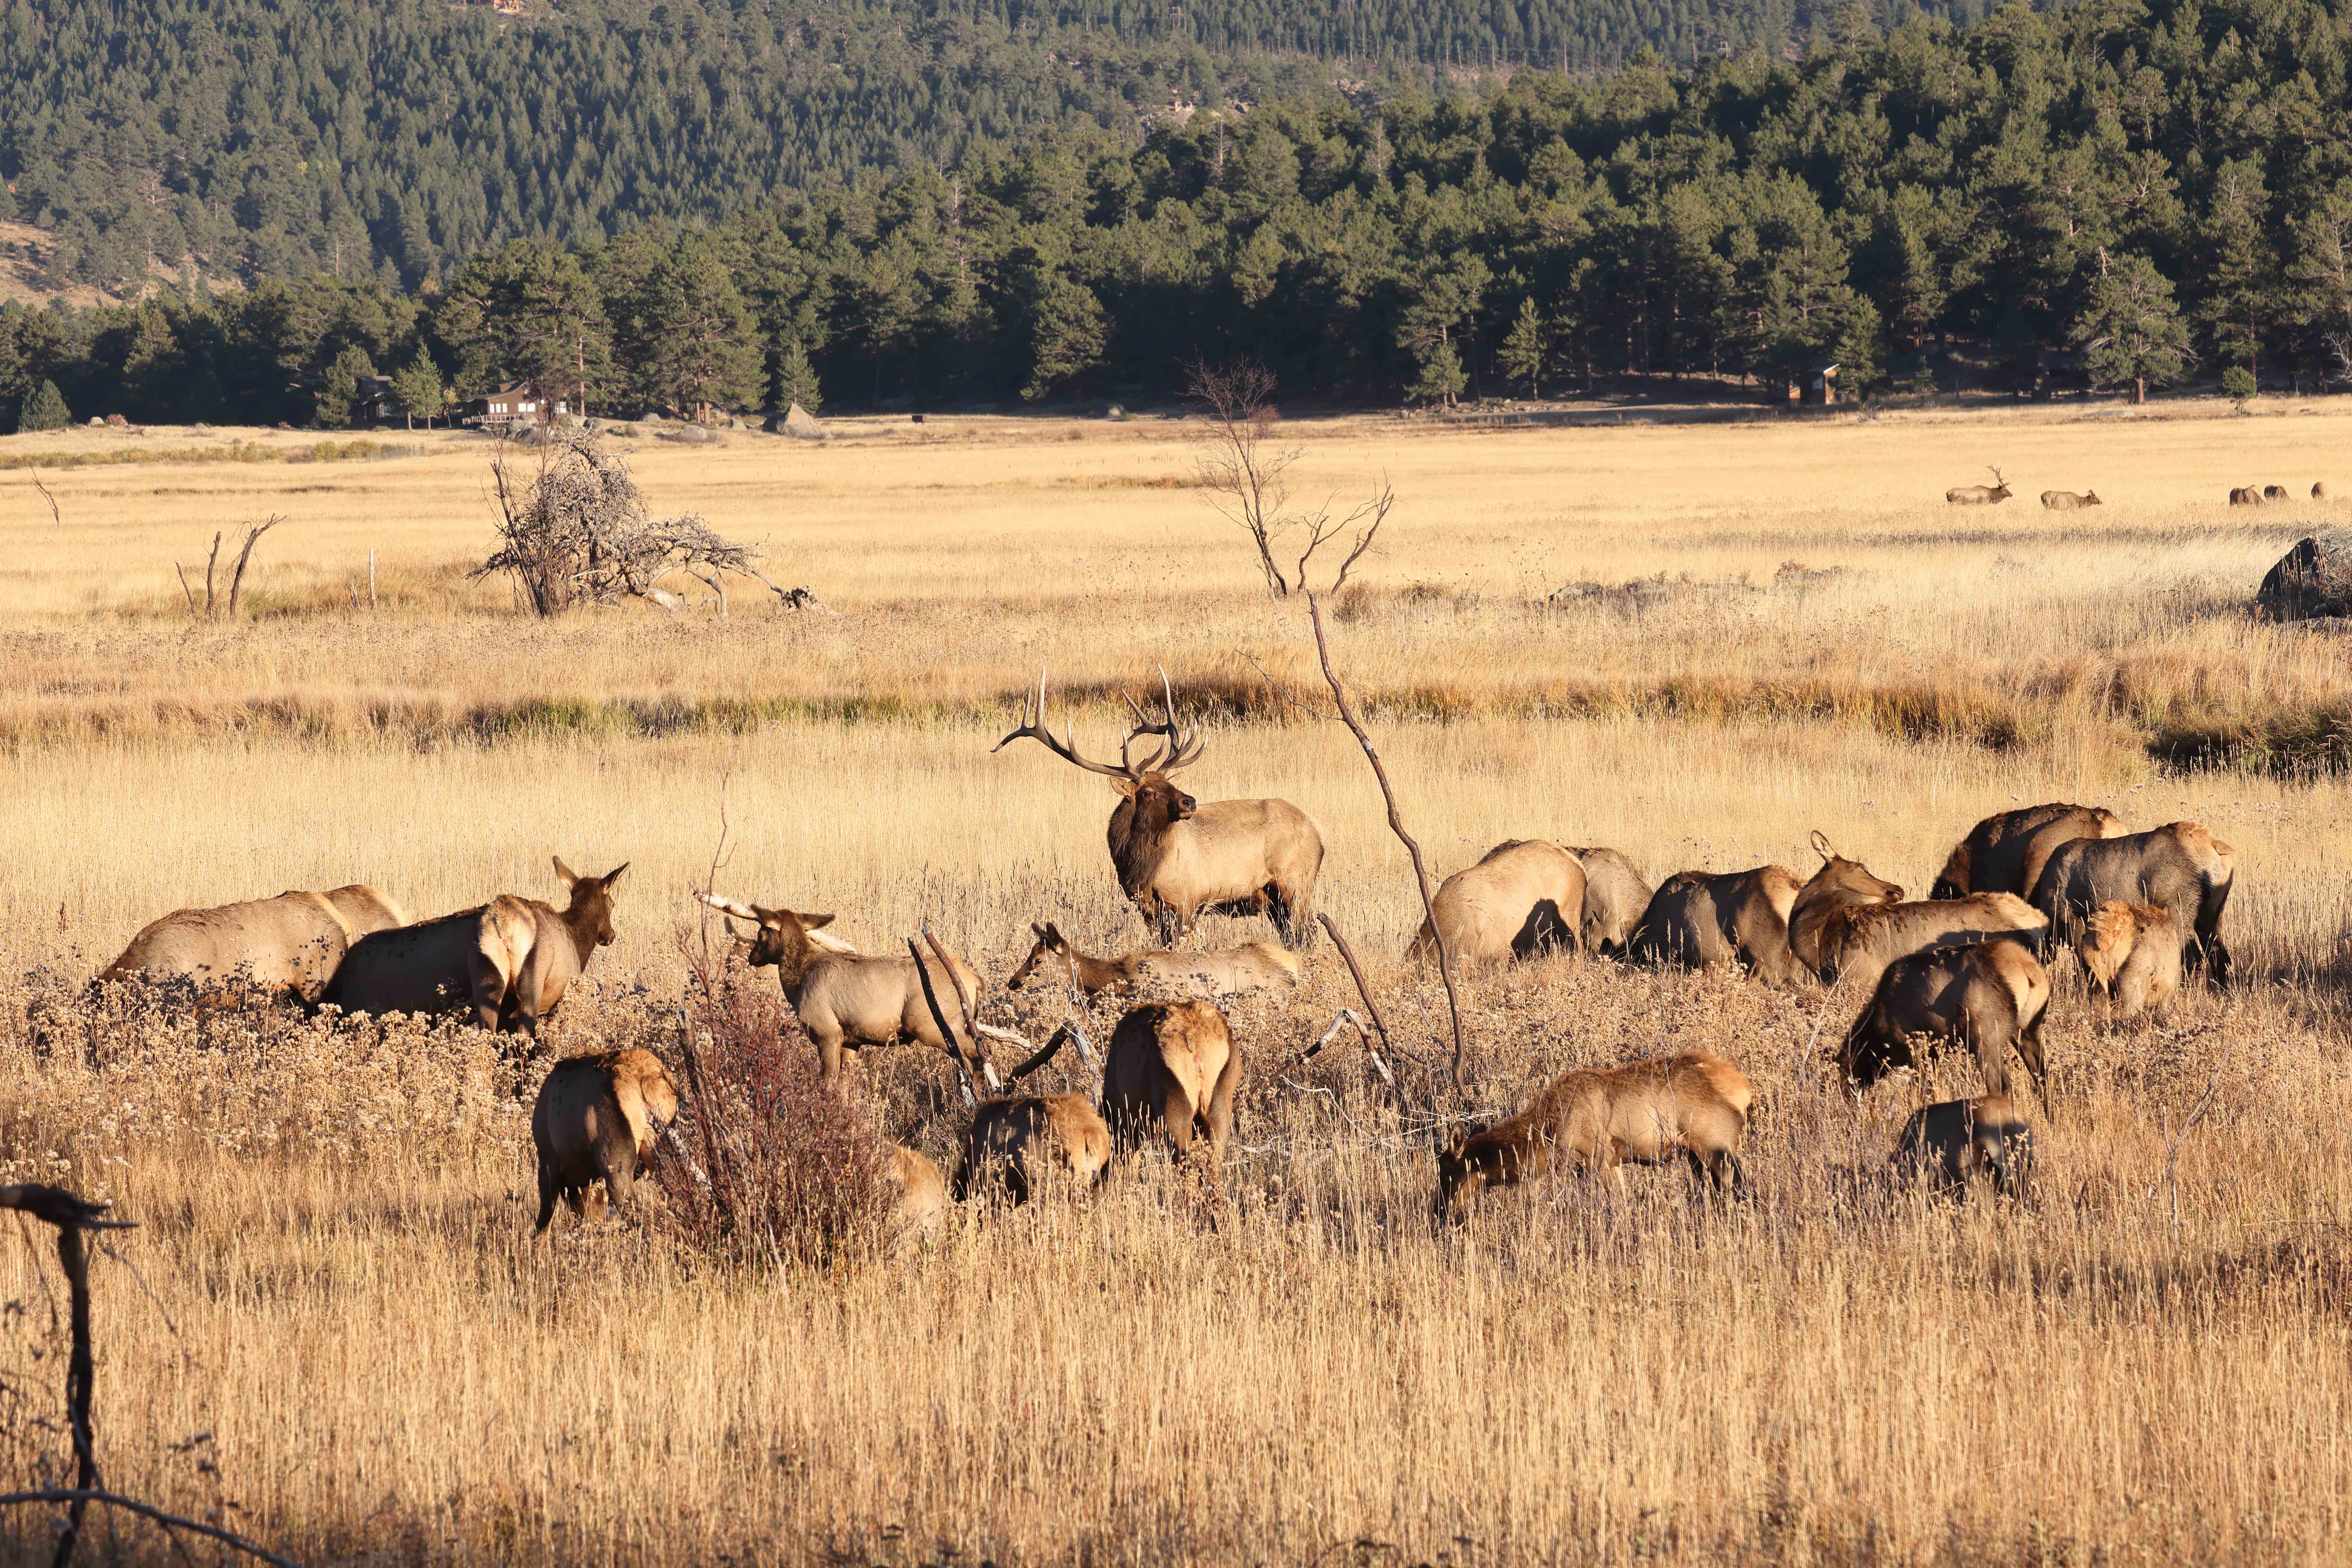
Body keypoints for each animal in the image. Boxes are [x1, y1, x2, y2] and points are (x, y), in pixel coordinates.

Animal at [994, 669, 1324, 948]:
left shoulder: (1187, 899)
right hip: (1274, 899)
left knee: (1306, 935)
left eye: (1168, 782)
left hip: (1297, 882)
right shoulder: (1146, 907)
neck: (1140, 869)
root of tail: (1319, 835)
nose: (1190, 801)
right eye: (1150, 791)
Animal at [1946, 466, 2012, 504]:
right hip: (1955, 503)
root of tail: (1948, 493)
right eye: (2005, 489)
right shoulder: (1984, 503)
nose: (2012, 494)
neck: (1991, 496)